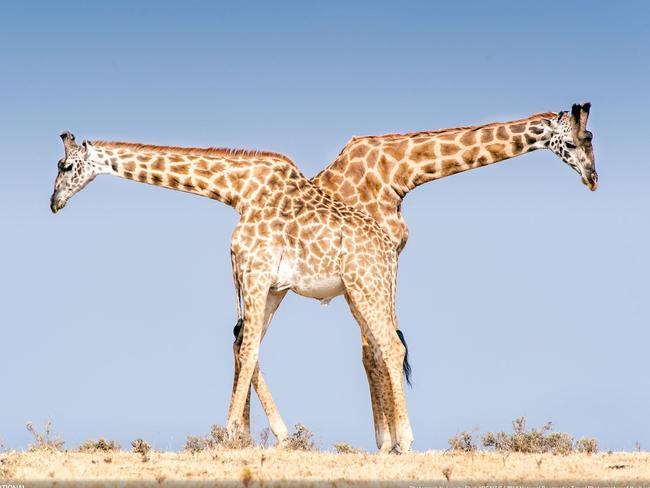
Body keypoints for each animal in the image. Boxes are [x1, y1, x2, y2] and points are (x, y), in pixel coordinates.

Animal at [52, 132, 416, 452]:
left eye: (65, 166)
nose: (54, 202)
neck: (238, 192)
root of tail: (389, 250)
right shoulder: (266, 284)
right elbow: (245, 348)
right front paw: (270, 436)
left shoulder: (256, 273)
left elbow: (249, 351)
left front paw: (228, 437)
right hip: (360, 293)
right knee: (380, 349)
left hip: (366, 285)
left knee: (391, 347)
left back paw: (406, 441)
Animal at [230, 102, 596, 450]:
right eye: (574, 141)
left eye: (591, 137)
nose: (593, 178)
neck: (400, 172)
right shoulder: (373, 264)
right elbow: (374, 352)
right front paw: (388, 441)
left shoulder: (384, 262)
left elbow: (380, 347)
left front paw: (389, 439)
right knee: (247, 342)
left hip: (276, 288)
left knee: (243, 341)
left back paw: (243, 434)